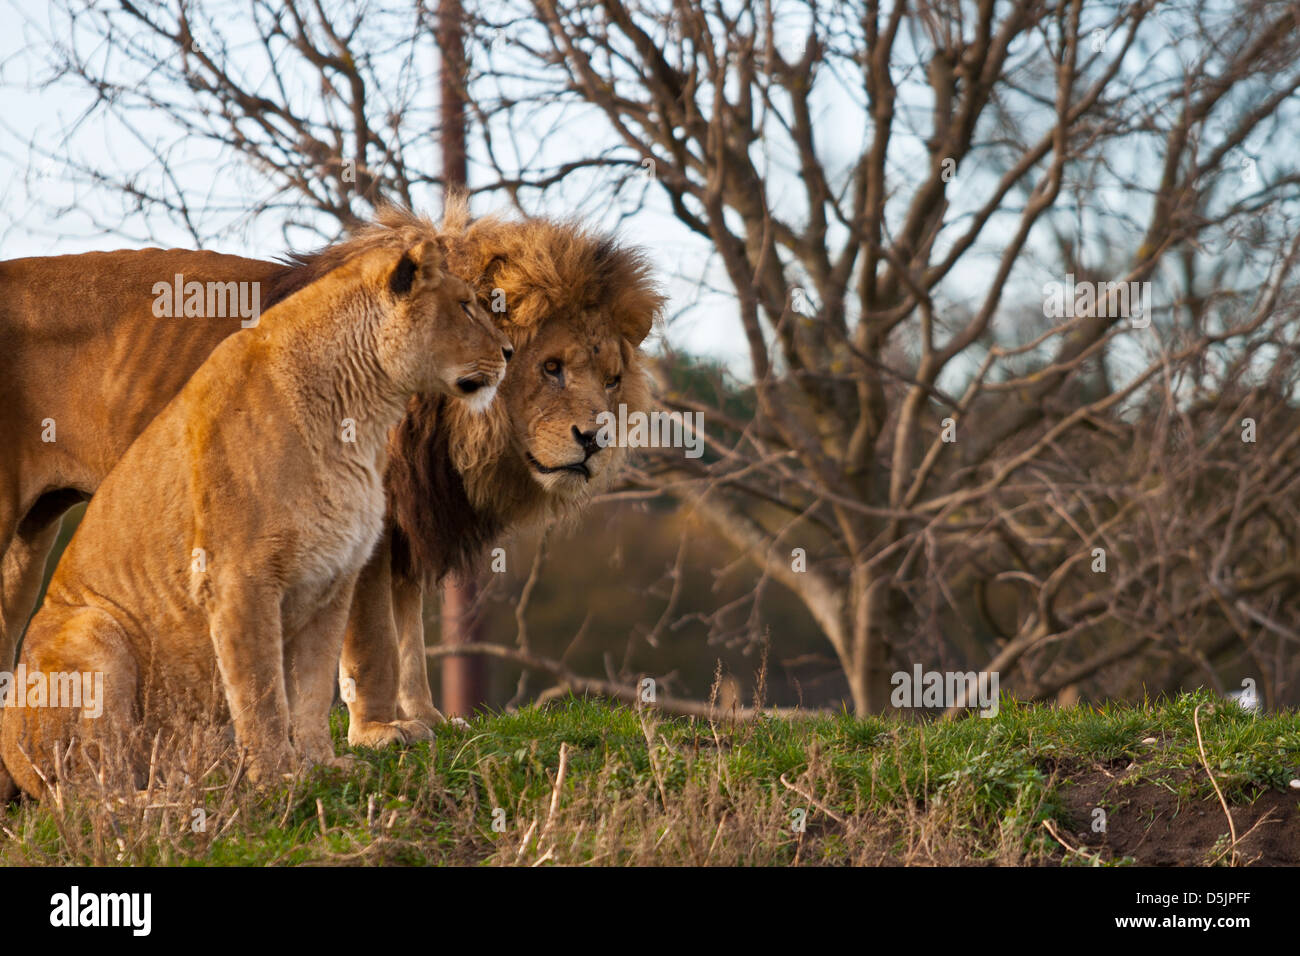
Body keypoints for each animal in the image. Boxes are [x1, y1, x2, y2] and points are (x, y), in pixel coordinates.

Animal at [0, 204, 660, 790]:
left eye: (612, 380)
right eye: (551, 367)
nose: (595, 438)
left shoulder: (396, 530)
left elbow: (408, 635)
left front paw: (427, 718)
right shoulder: (369, 533)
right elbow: (374, 642)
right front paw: (381, 732)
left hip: (31, 543)